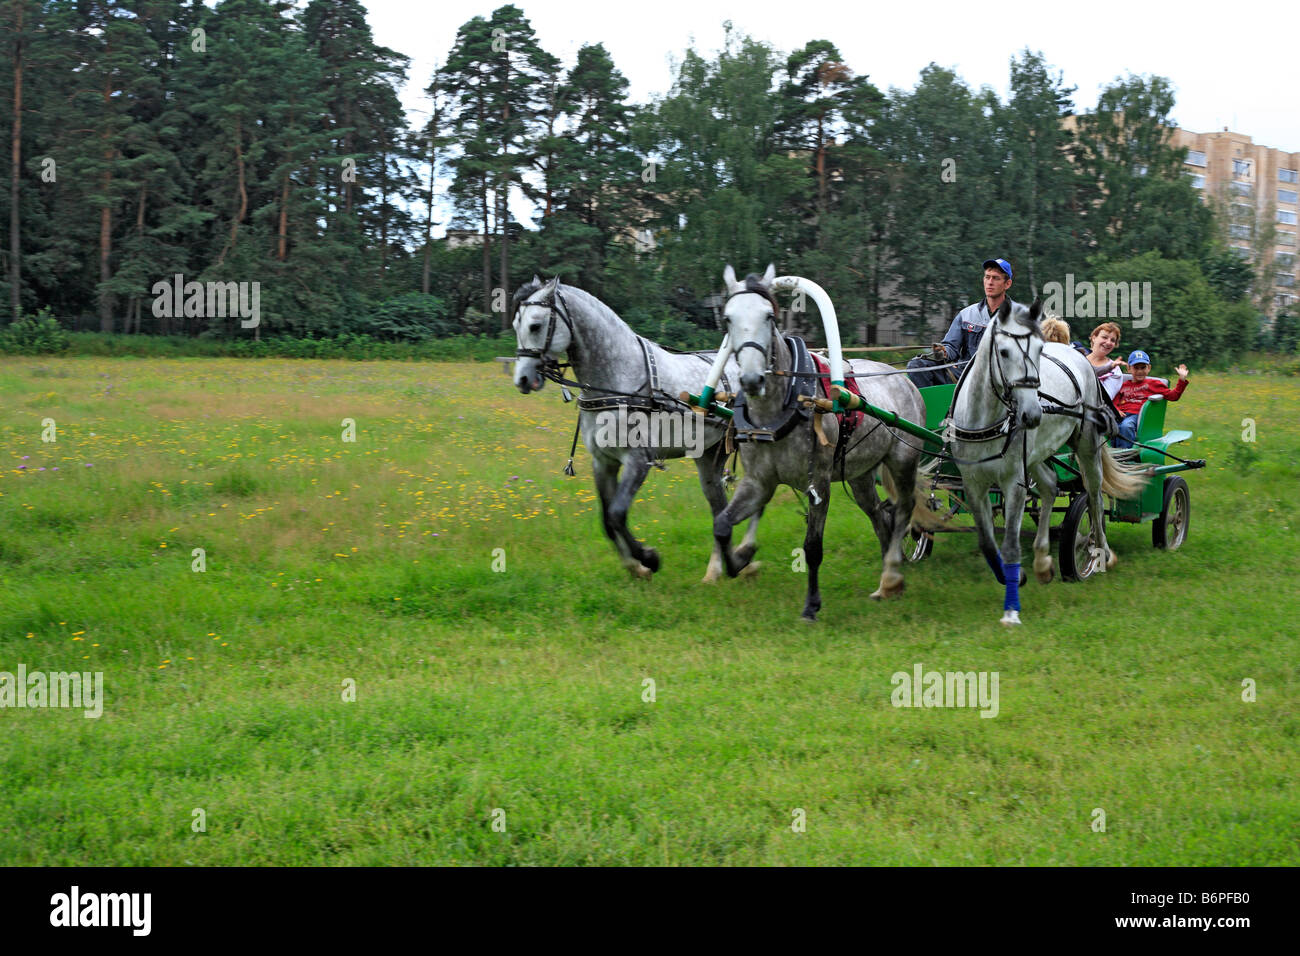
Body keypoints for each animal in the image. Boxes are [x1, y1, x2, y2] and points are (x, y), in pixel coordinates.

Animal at [512, 273, 759, 580]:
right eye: (515, 324)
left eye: (535, 325)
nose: (522, 379)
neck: (619, 378)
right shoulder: (603, 462)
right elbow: (607, 519)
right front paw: (635, 566)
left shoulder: (639, 460)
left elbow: (617, 513)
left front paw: (648, 558)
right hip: (709, 458)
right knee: (720, 508)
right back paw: (718, 569)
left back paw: (745, 556)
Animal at [946, 300, 1149, 629]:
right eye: (1004, 352)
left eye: (1039, 349)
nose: (1031, 414)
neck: (985, 419)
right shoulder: (973, 484)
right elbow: (988, 543)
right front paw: (1016, 575)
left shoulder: (1014, 483)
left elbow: (1010, 545)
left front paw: (1011, 611)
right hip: (1037, 455)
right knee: (1051, 486)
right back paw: (1042, 560)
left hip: (1086, 445)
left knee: (1094, 498)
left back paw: (1100, 553)